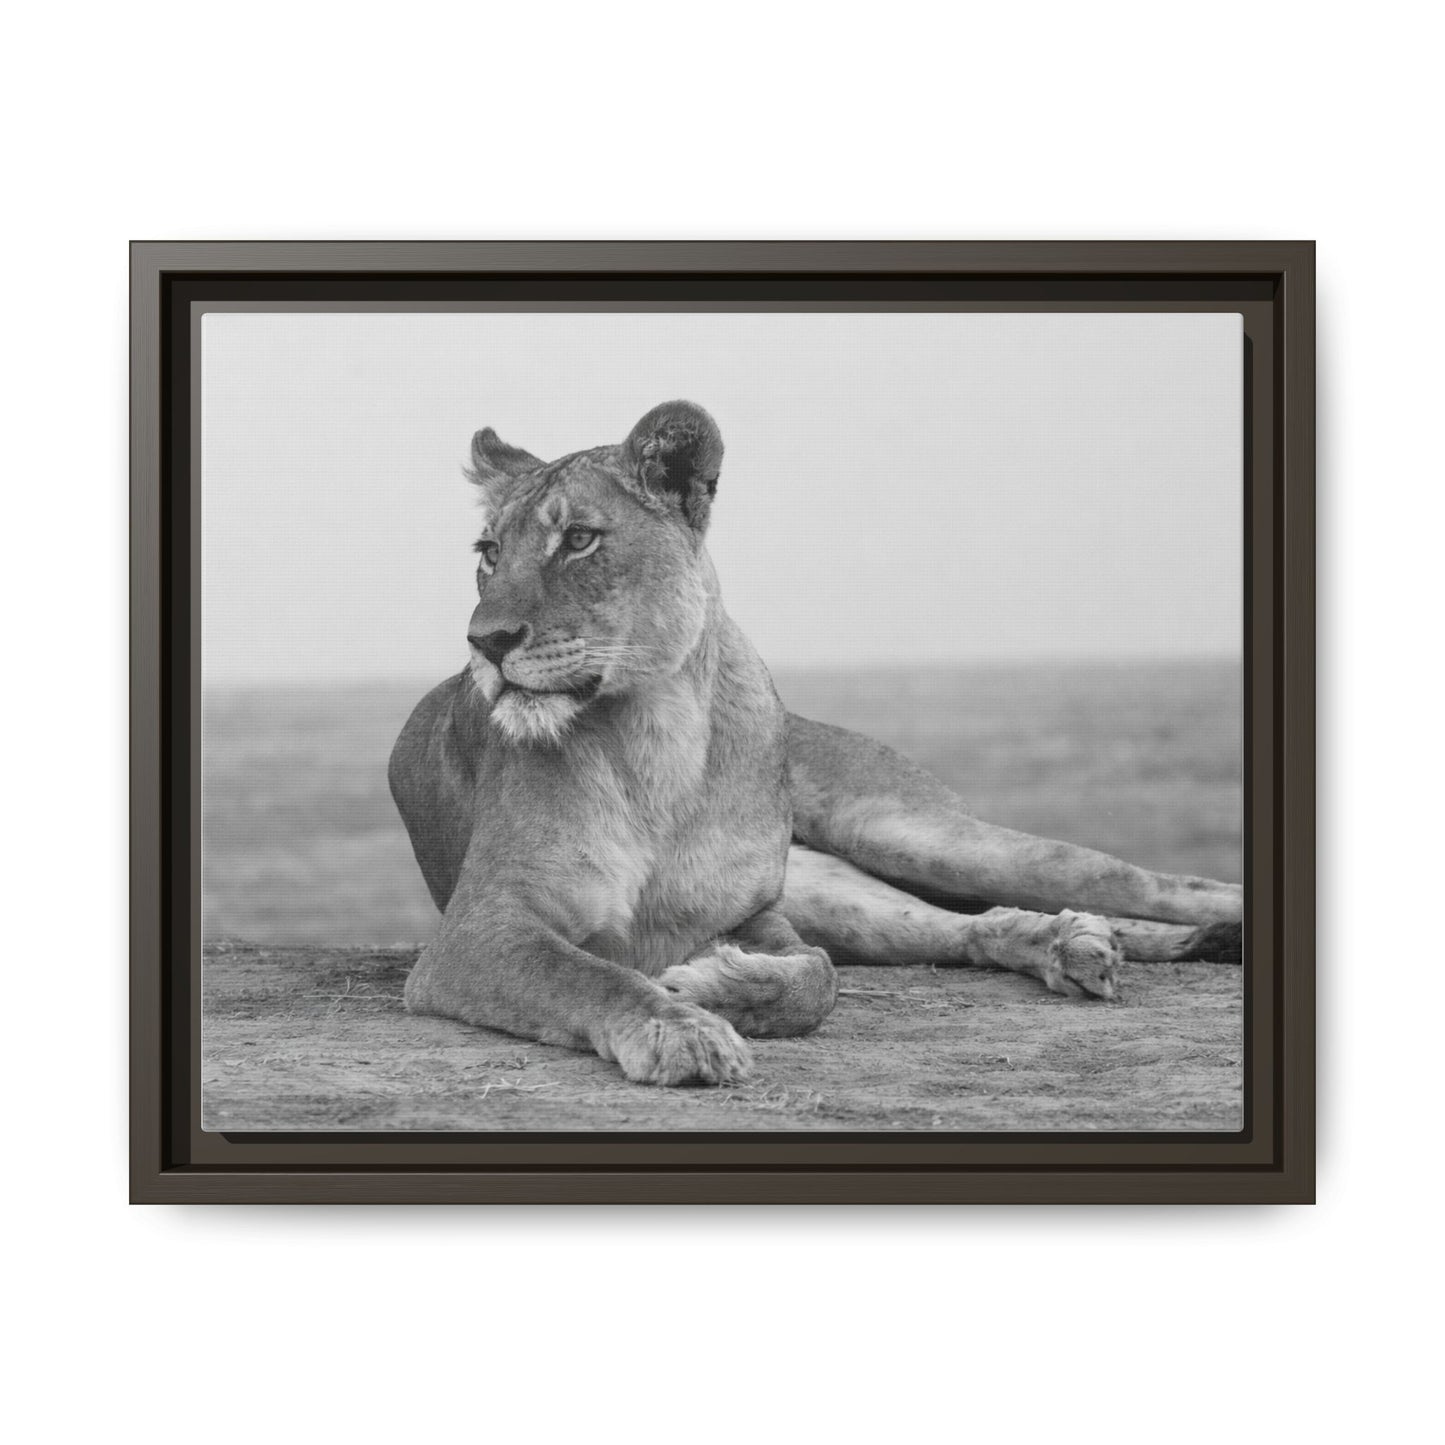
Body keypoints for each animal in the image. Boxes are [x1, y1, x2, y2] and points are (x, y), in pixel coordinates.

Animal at [390, 401, 1243, 1086]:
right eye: (488, 553)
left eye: (577, 539)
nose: (485, 642)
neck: (655, 737)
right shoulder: (479, 929)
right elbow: (590, 975)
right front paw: (680, 1027)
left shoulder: (758, 912)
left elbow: (816, 979)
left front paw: (706, 986)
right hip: (840, 887)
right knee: (963, 927)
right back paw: (1068, 942)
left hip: (905, 831)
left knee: (1149, 882)